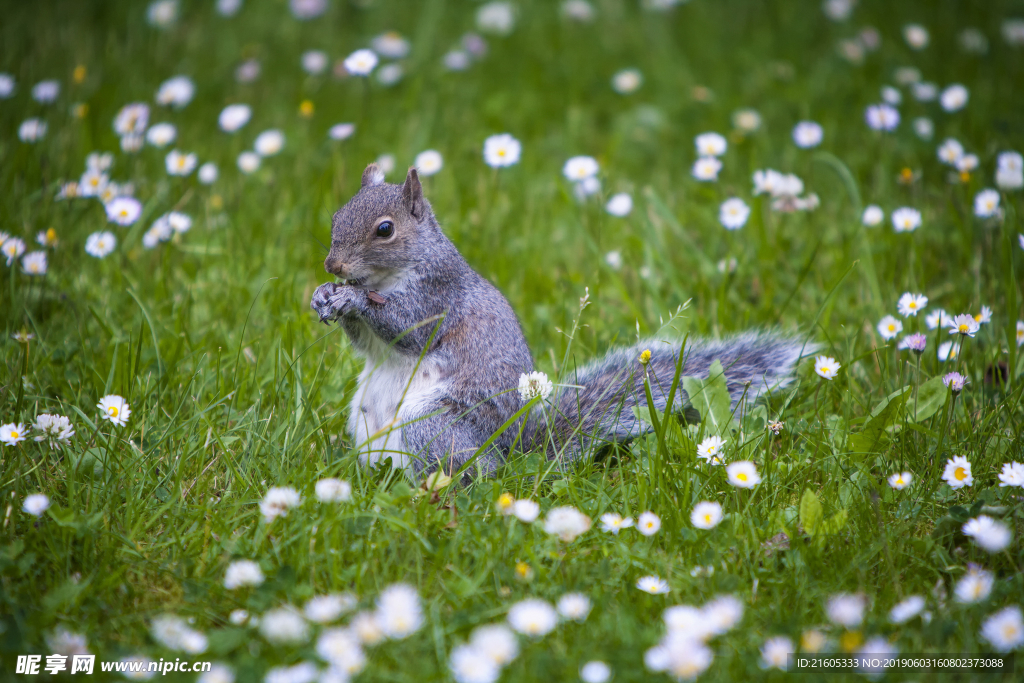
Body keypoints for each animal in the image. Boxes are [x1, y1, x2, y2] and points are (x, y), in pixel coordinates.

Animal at [307, 162, 811, 479]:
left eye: (385, 230)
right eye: (335, 214)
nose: (331, 265)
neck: (388, 276)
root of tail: (510, 456)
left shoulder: (437, 295)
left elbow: (406, 325)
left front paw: (352, 298)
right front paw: (323, 296)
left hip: (431, 426)